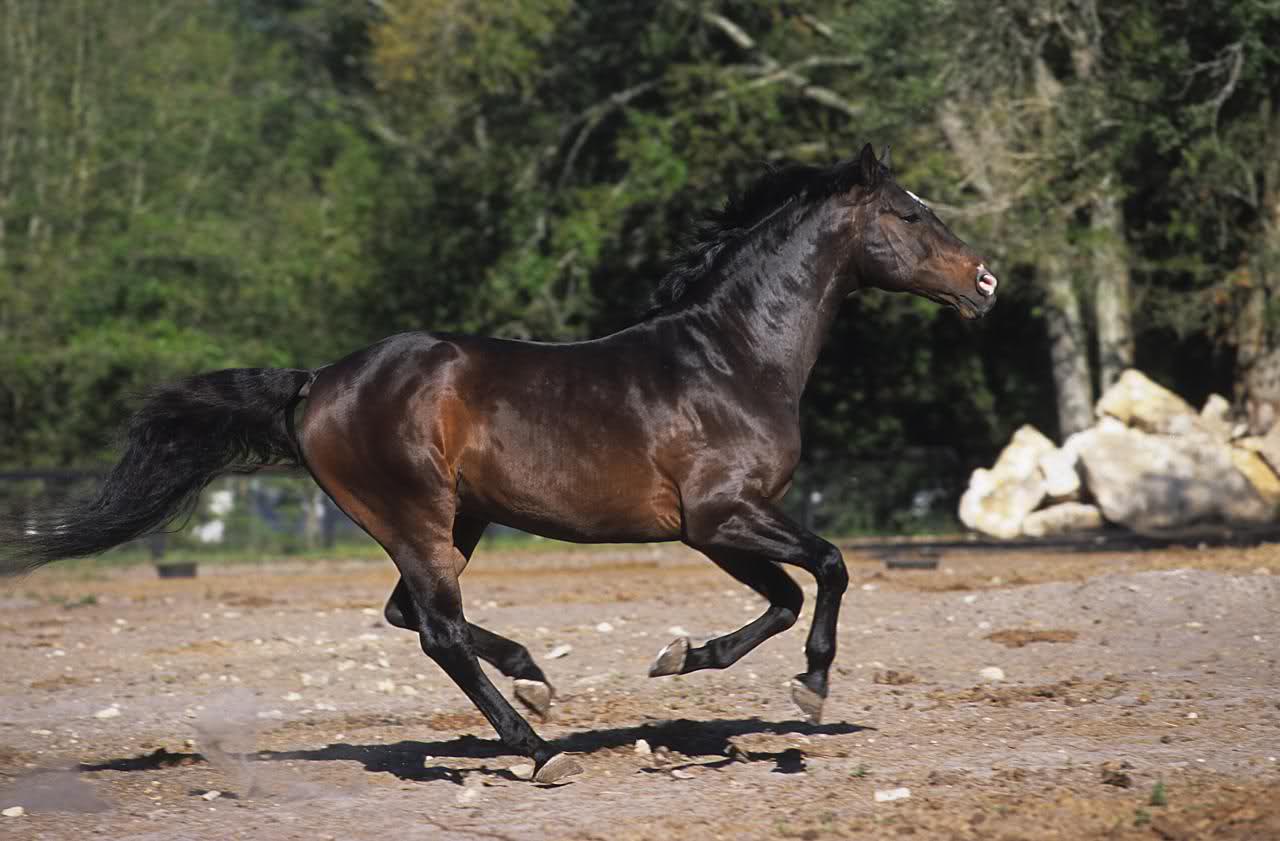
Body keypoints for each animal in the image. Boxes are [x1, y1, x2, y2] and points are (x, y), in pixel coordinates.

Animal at [0, 142, 998, 778]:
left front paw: (680, 659)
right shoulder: (721, 514)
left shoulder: (714, 528)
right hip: (416, 516)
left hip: (460, 517)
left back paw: (534, 679)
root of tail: (319, 381)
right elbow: (828, 567)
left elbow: (785, 596)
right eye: (908, 213)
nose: (986, 282)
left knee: (413, 615)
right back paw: (537, 743)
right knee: (434, 627)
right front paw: (813, 688)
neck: (731, 357)